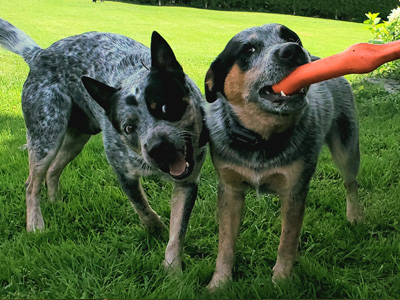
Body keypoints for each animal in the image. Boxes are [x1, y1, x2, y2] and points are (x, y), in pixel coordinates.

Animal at [0, 18, 208, 272]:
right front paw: (156, 228)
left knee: (53, 171)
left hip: (77, 138)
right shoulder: (122, 171)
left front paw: (172, 270)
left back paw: (55, 203)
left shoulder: (187, 182)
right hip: (47, 134)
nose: (158, 149)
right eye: (128, 127)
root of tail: (38, 54)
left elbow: (178, 231)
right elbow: (142, 206)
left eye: (165, 107)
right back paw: (35, 225)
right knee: (32, 183)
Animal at [203, 24, 362, 290]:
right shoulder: (229, 188)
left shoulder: (294, 189)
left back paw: (355, 217)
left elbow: (287, 241)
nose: (293, 50)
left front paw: (281, 281)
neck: (261, 139)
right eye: (248, 49)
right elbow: (225, 243)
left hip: (347, 148)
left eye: (292, 38)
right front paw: (219, 282)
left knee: (351, 184)